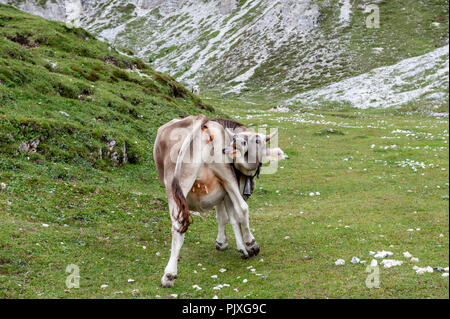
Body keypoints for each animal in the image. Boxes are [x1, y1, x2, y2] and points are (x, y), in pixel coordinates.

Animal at [153, 114, 284, 288]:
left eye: (257, 141)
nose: (236, 142)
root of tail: (199, 121)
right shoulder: (229, 190)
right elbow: (234, 216)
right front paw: (243, 247)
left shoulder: (220, 193)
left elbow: (222, 216)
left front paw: (222, 242)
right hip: (226, 174)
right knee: (243, 208)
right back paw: (252, 244)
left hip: (175, 185)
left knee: (177, 225)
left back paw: (169, 275)